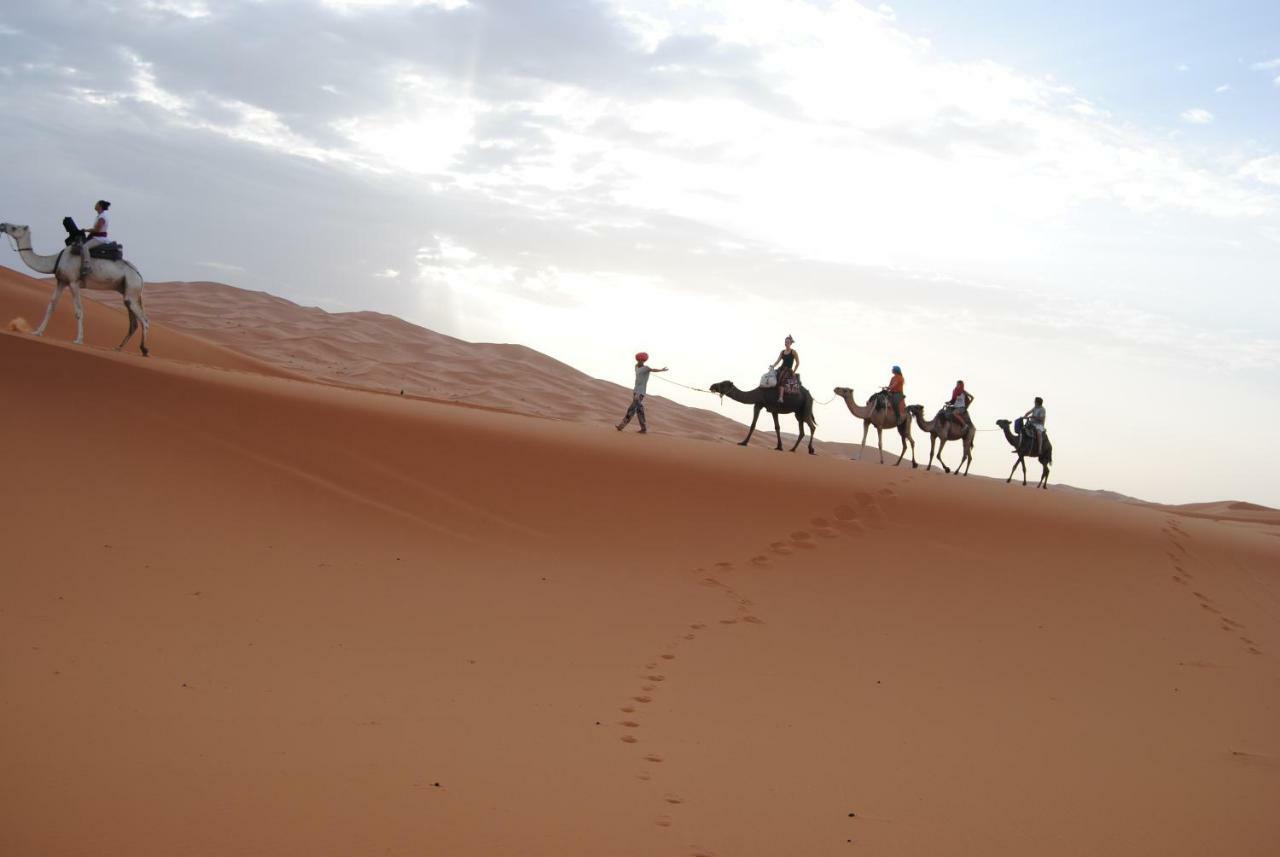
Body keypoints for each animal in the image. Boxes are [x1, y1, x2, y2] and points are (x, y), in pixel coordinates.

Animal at [0, 225, 148, 355]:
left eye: (14, 227)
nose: (2, 225)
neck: (57, 259)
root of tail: (139, 275)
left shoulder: (73, 282)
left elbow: (78, 311)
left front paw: (78, 340)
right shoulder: (61, 281)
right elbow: (51, 306)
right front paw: (37, 332)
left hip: (132, 288)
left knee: (145, 321)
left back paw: (145, 350)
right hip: (127, 291)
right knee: (133, 323)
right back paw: (118, 347)